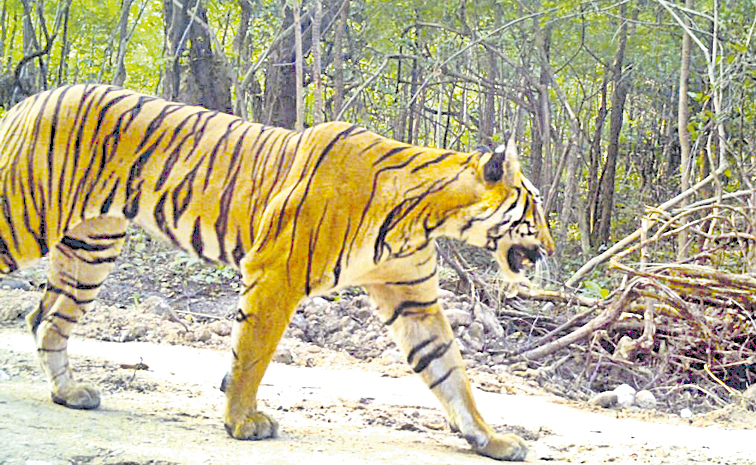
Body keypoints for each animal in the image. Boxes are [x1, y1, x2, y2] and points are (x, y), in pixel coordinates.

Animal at [0, 84, 554, 461]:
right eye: (537, 209)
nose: (550, 249)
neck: (426, 218)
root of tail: (30, 99)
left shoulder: (413, 299)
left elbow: (449, 371)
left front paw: (490, 438)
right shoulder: (276, 273)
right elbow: (252, 355)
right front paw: (241, 422)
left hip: (91, 246)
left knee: (45, 321)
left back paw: (69, 394)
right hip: (25, 221)